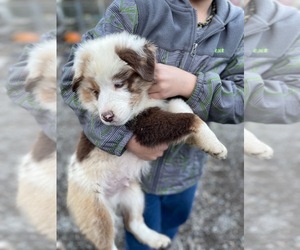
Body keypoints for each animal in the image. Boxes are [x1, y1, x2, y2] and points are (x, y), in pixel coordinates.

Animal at [68, 31, 227, 250]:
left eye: (119, 84)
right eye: (95, 92)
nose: (106, 117)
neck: (142, 99)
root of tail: (113, 199)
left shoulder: (160, 105)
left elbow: (182, 107)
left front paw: (211, 144)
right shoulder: (143, 127)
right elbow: (189, 118)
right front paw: (216, 146)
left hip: (133, 193)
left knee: (133, 222)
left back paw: (156, 238)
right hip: (95, 210)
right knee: (106, 241)